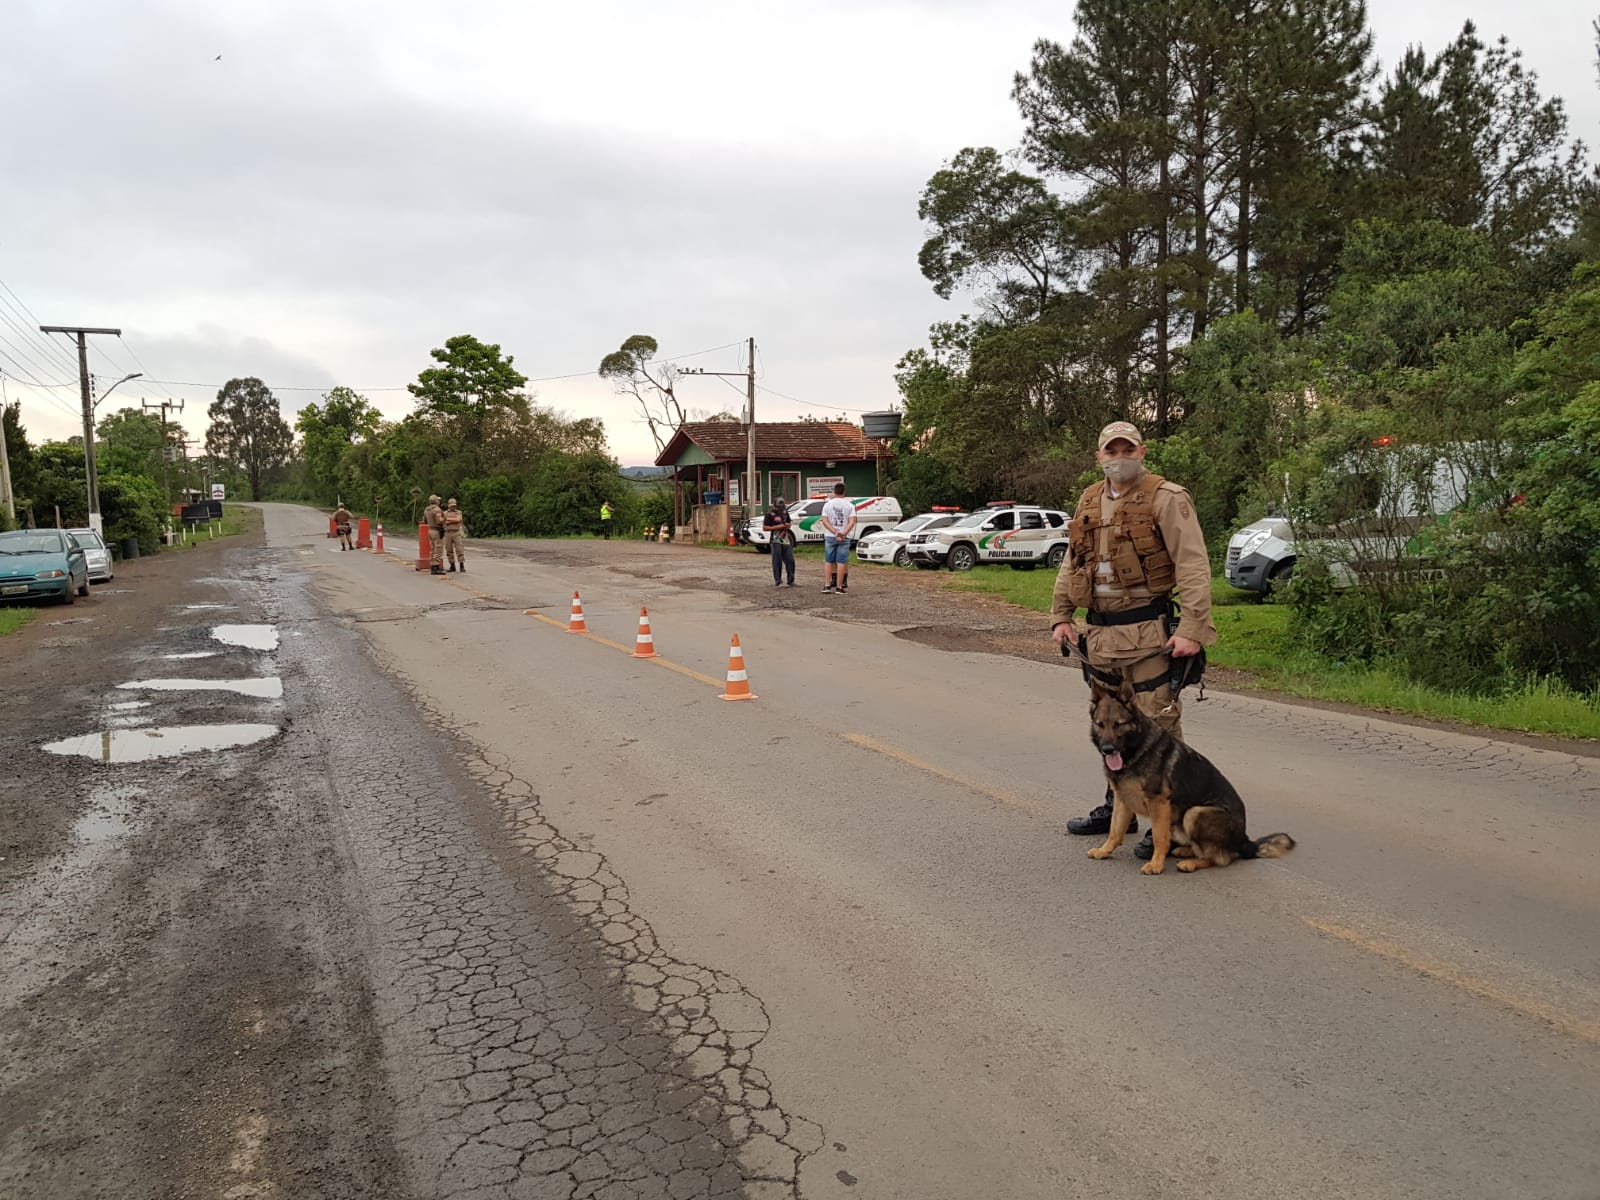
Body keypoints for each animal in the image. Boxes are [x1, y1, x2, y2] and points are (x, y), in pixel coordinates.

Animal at [1081, 681, 1292, 876]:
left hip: (1194, 813)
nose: (1107, 749)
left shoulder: (1158, 803)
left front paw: (1156, 865)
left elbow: (1159, 838)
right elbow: (1115, 830)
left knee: (1222, 857)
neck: (1136, 749)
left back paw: (1191, 863)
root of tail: (1244, 841)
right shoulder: (1122, 800)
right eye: (1100, 724)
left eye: (1119, 724)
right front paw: (1104, 851)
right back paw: (1185, 851)